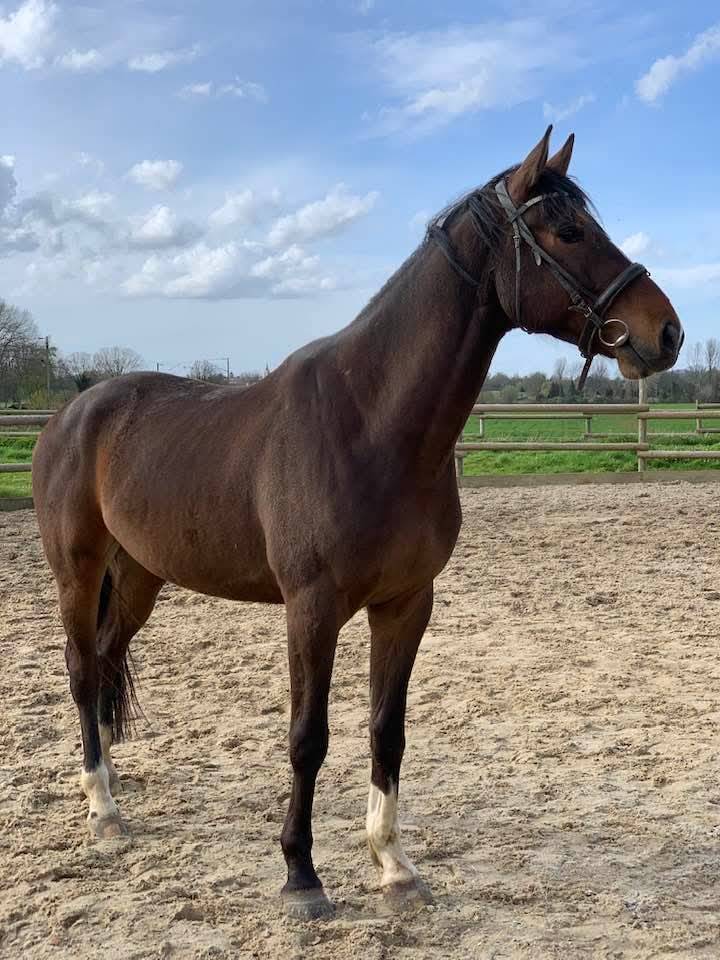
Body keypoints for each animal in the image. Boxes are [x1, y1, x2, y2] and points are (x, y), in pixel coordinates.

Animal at [32, 127, 683, 920]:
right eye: (569, 232)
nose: (667, 332)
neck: (371, 422)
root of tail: (73, 414)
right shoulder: (311, 609)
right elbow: (308, 737)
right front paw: (301, 875)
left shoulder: (405, 604)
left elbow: (386, 730)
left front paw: (394, 865)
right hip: (78, 568)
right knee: (78, 670)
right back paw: (100, 808)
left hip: (139, 578)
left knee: (102, 663)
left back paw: (112, 788)